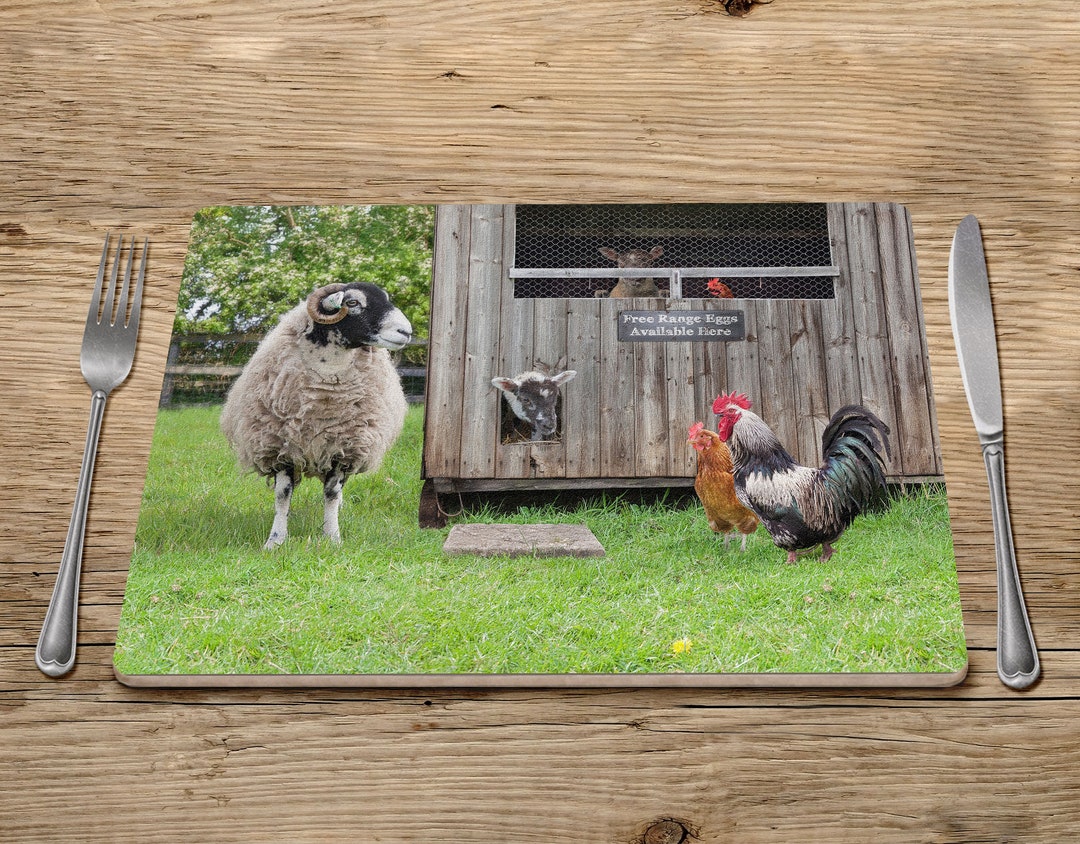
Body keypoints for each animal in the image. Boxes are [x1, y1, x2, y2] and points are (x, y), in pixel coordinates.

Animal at [220, 281, 412, 549]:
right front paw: (275, 541)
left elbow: (331, 494)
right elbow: (282, 496)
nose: (406, 331)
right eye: (352, 302)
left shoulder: (343, 449)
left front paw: (332, 537)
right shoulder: (280, 449)